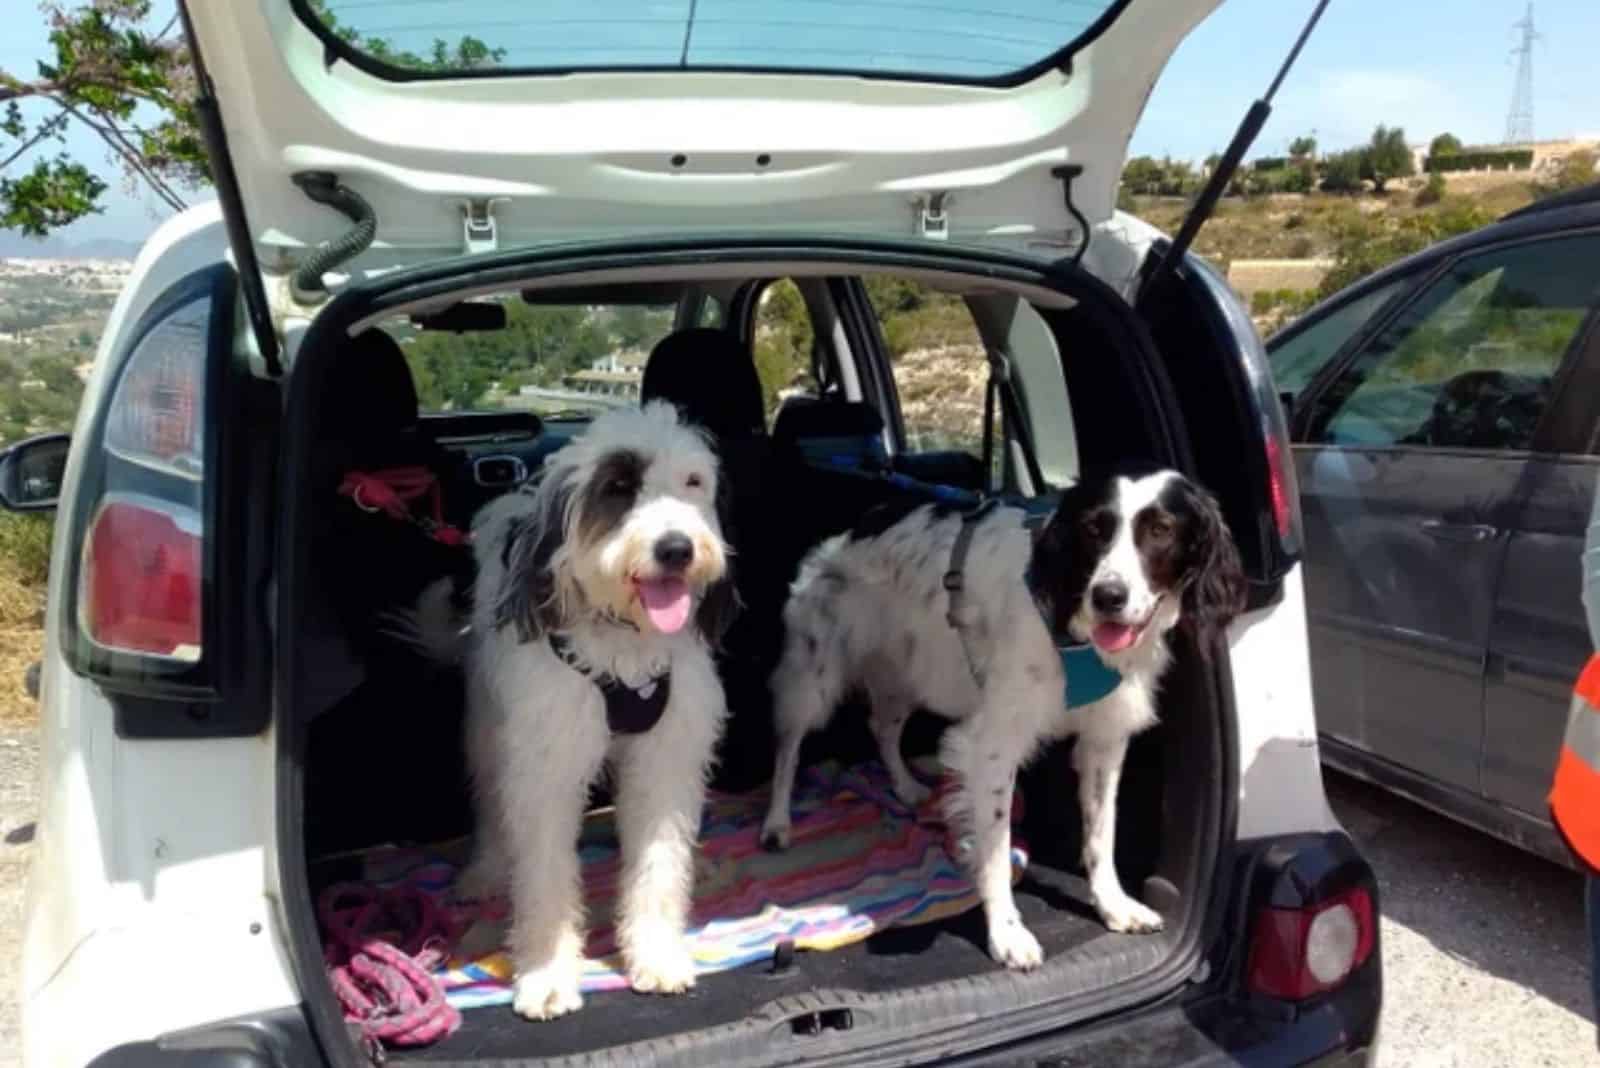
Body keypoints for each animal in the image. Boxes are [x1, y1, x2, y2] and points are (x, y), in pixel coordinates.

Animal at [409, 399, 739, 1016]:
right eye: (618, 486)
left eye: (692, 483)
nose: (677, 549)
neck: (624, 642)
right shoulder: (547, 761)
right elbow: (543, 870)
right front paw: (546, 972)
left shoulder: (666, 756)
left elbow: (659, 860)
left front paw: (656, 954)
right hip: (490, 724)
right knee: (491, 801)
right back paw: (486, 870)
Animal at [761, 466, 1248, 965]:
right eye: (1094, 529)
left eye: (1161, 530)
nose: (1108, 596)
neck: (1073, 627)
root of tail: (854, 528)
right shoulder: (994, 744)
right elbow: (996, 848)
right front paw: (1006, 933)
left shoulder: (1104, 739)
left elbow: (1100, 833)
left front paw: (1112, 904)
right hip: (815, 677)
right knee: (788, 747)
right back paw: (777, 822)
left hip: (904, 673)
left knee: (882, 728)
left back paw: (905, 786)